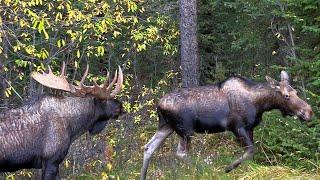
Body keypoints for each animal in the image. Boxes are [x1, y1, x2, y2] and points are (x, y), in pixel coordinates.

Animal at [141, 71, 314, 179]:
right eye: (286, 96)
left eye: (296, 92)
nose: (308, 112)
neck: (260, 104)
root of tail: (159, 105)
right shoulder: (237, 127)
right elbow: (250, 150)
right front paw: (228, 168)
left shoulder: (250, 128)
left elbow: (251, 154)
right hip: (185, 130)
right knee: (180, 153)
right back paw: (207, 169)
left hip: (166, 127)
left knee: (149, 147)